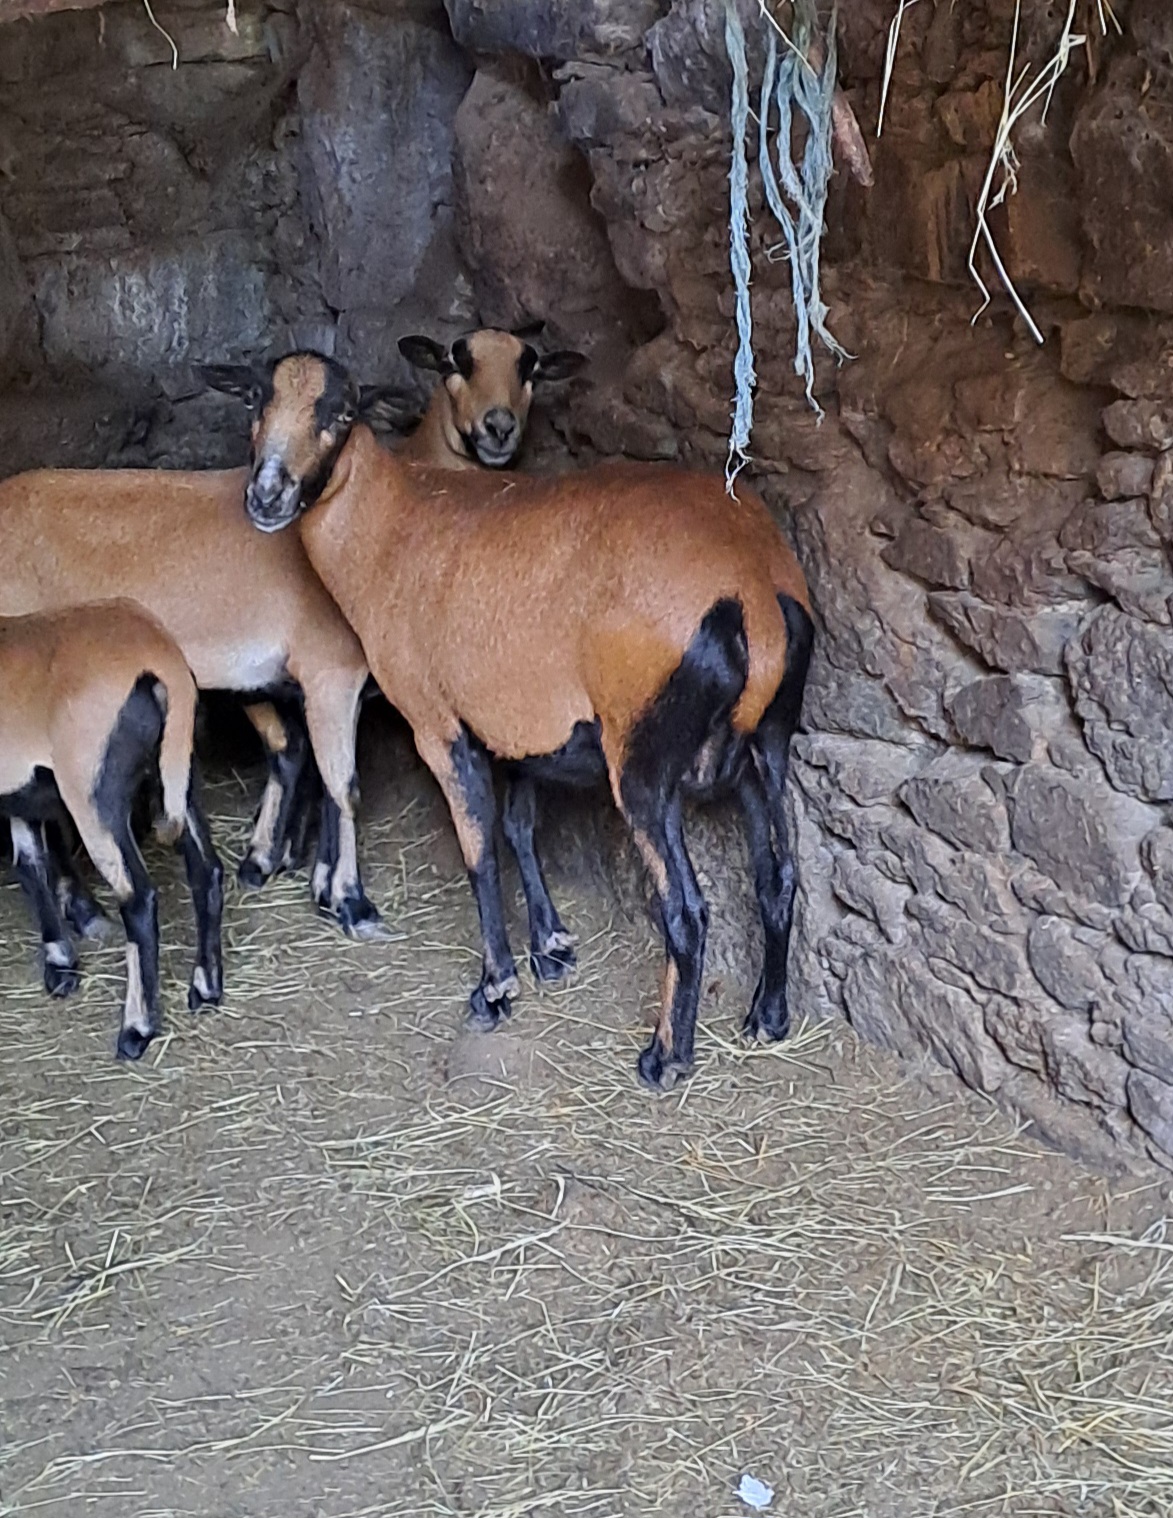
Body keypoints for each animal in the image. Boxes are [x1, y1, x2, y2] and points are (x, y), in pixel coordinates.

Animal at [1, 599, 223, 1059]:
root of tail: (162, 663)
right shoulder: (21, 795)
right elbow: (30, 867)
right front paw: (60, 964)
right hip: (177, 773)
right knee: (205, 870)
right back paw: (206, 987)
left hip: (94, 793)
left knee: (137, 897)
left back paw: (136, 1029)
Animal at [207, 352, 815, 1090]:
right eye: (254, 401)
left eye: (342, 413)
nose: (267, 496)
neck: (386, 527)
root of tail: (753, 588)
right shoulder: (521, 725)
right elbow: (520, 828)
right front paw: (549, 947)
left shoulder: (437, 721)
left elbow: (479, 849)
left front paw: (495, 986)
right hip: (766, 746)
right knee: (778, 877)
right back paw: (768, 1017)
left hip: (642, 758)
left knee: (687, 909)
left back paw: (665, 1057)